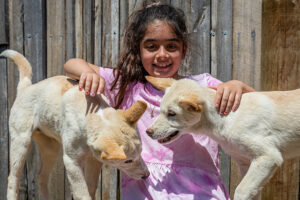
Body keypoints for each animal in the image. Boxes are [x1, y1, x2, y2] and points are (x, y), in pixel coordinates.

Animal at [0, 49, 149, 200]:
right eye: (127, 161)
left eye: (140, 152)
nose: (146, 175)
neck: (91, 114)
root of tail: (25, 88)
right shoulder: (72, 161)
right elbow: (82, 193)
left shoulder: (95, 160)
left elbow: (91, 187)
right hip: (21, 143)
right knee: (13, 178)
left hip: (50, 148)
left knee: (41, 176)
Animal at [145, 76, 300, 200]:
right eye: (161, 110)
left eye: (172, 114)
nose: (148, 132)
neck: (225, 119)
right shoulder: (246, 163)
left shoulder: (268, 156)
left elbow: (240, 191)